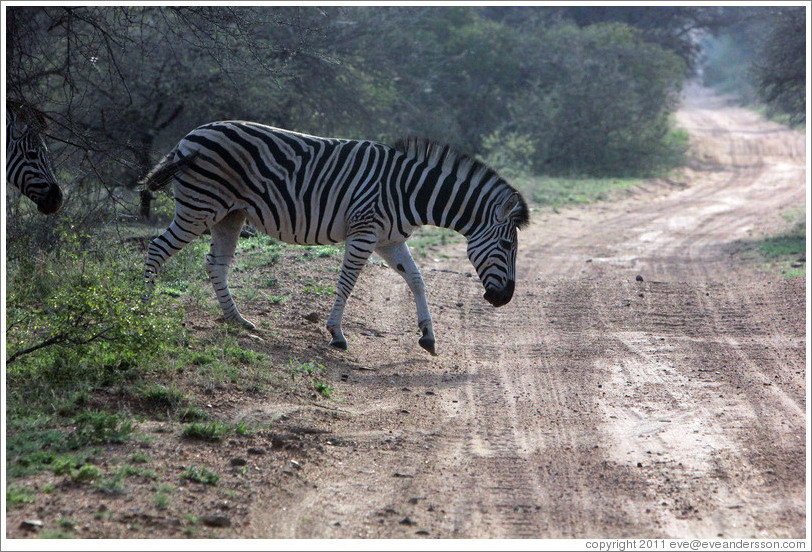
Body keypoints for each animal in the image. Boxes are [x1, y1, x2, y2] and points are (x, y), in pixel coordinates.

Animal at [142, 121, 529, 355]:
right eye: (507, 246)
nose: (504, 299)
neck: (408, 191)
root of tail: (189, 136)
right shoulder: (364, 232)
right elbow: (347, 282)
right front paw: (336, 334)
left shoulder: (389, 239)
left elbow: (417, 280)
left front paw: (428, 336)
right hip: (200, 207)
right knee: (157, 249)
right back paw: (144, 310)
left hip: (228, 215)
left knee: (216, 265)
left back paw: (239, 321)